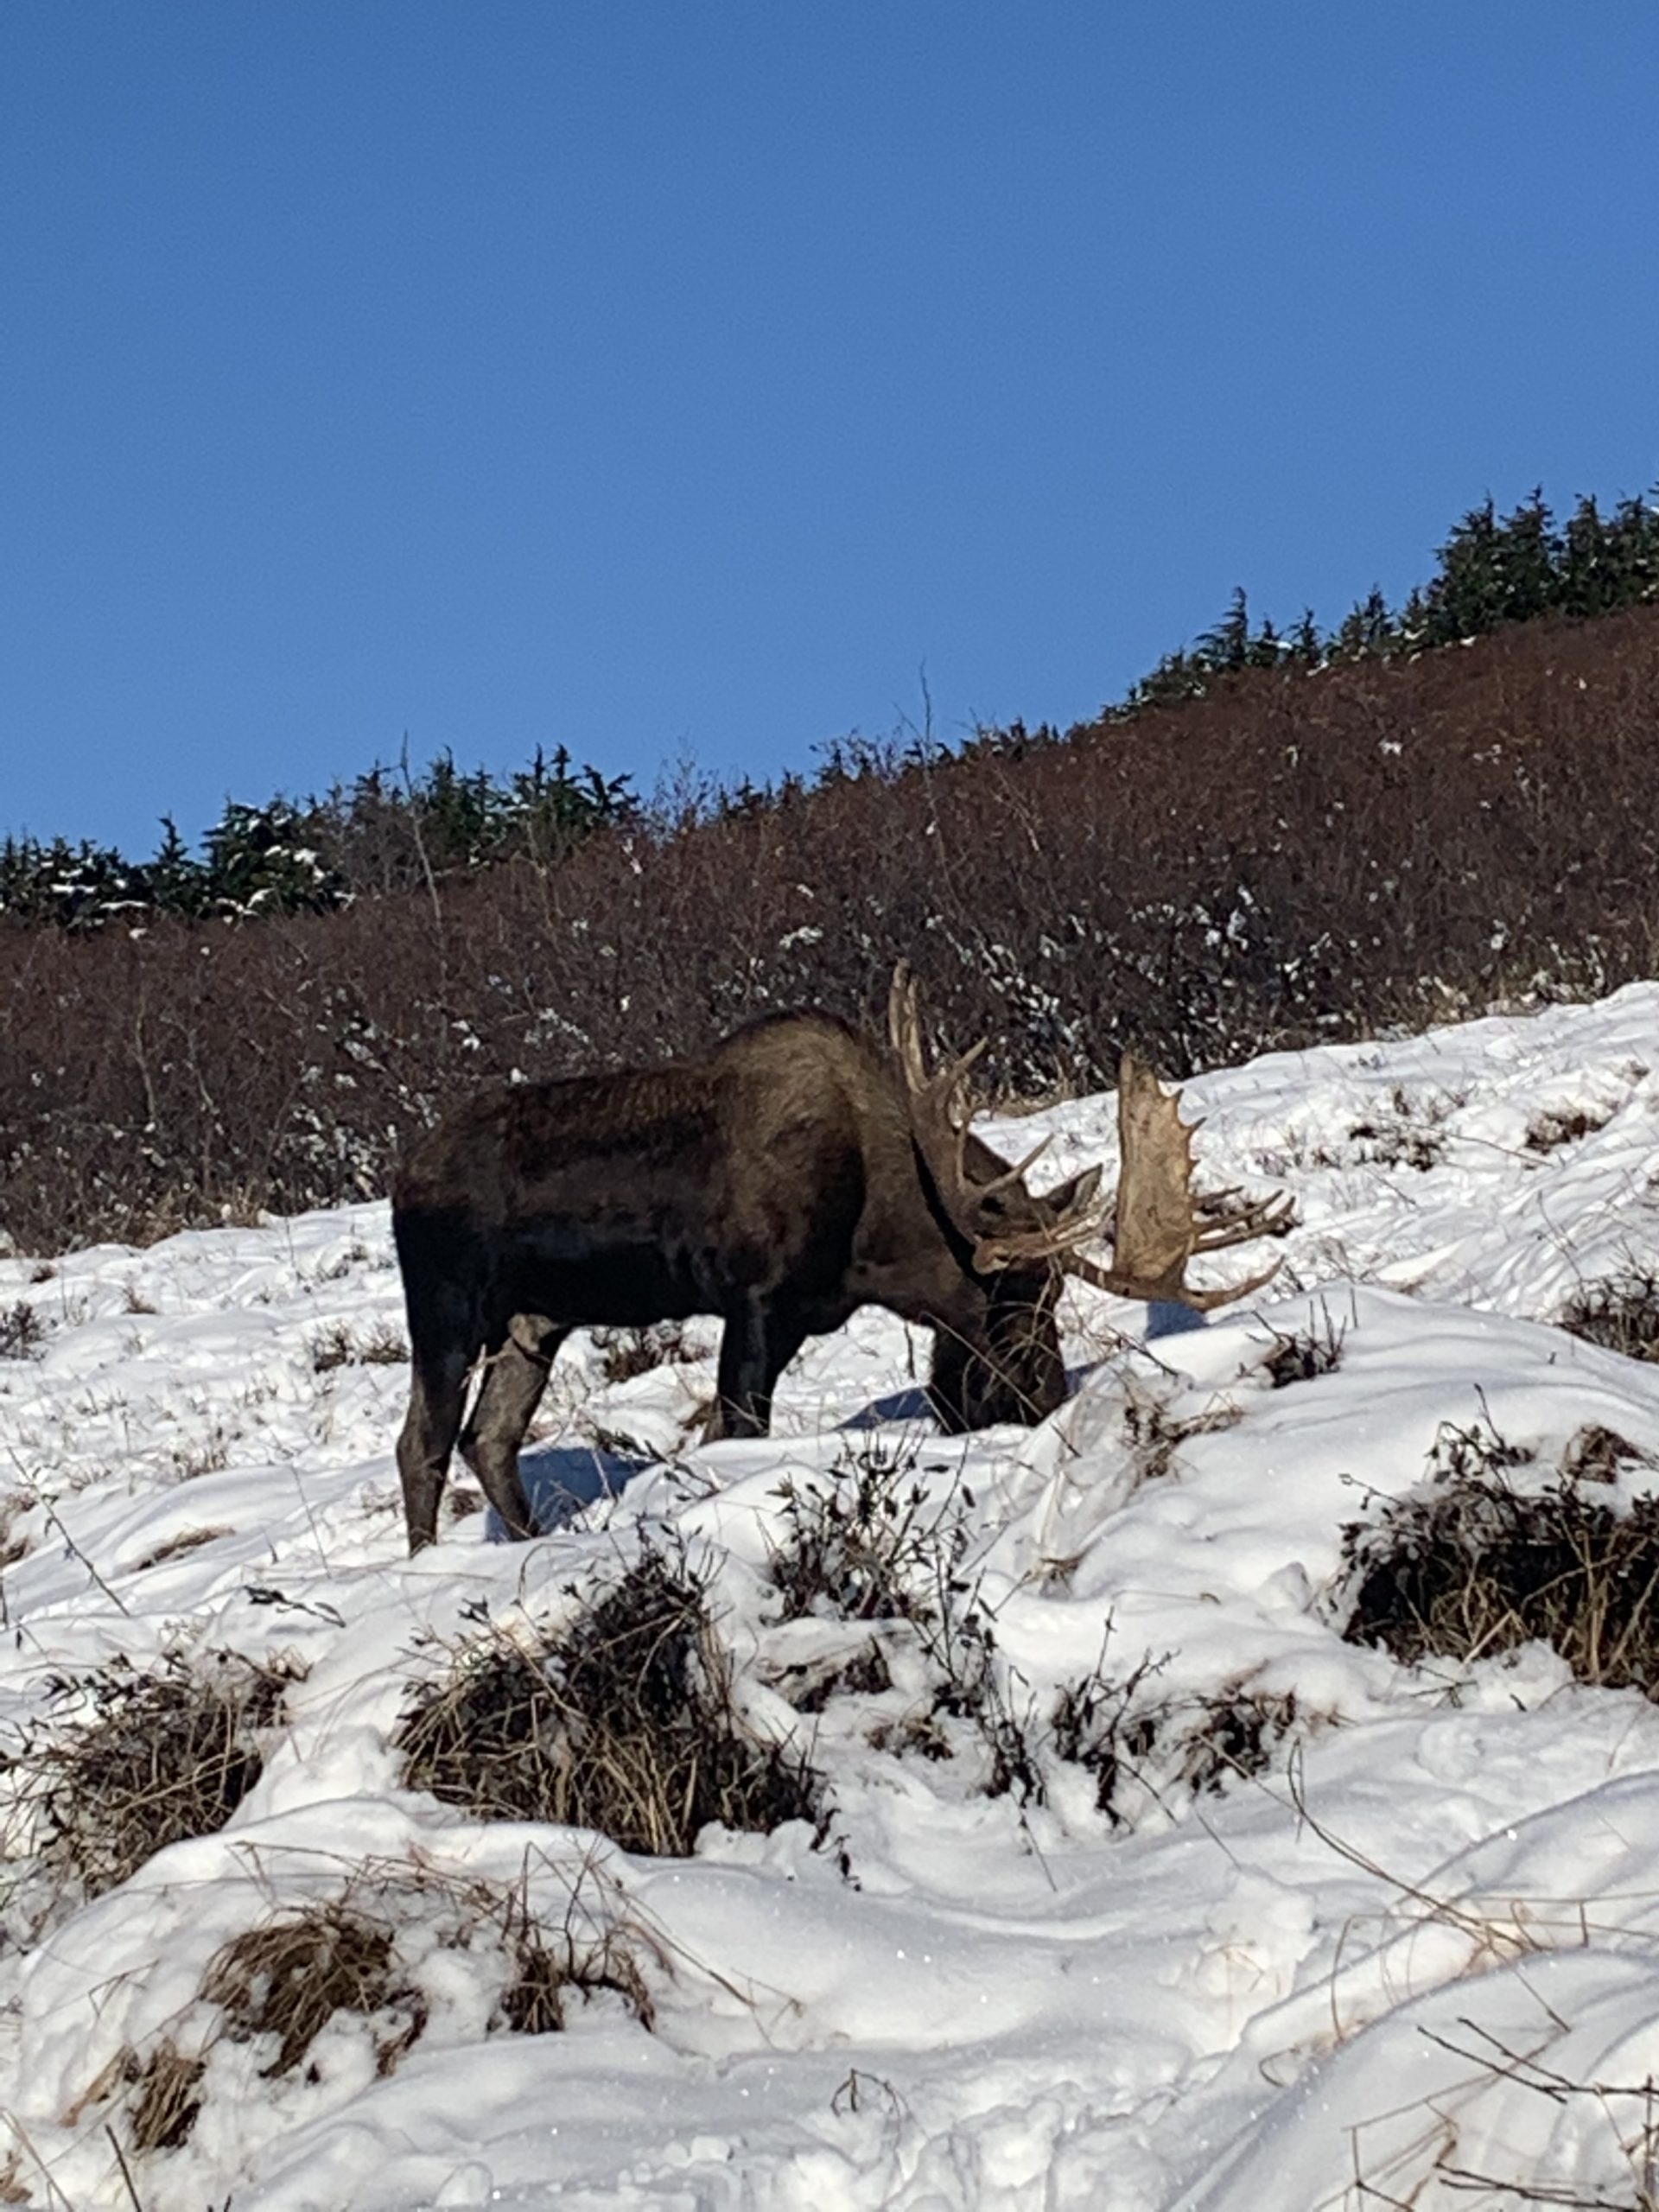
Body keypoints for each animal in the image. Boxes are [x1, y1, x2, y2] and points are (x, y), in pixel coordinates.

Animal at [396, 969, 1292, 1557]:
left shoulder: (801, 1312)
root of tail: (404, 1178)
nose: (1043, 1400)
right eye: (1013, 1300)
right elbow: (737, 1425)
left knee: (490, 1438)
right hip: (445, 1310)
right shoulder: (757, 1300)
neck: (877, 1245)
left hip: (533, 1323)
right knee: (425, 1443)